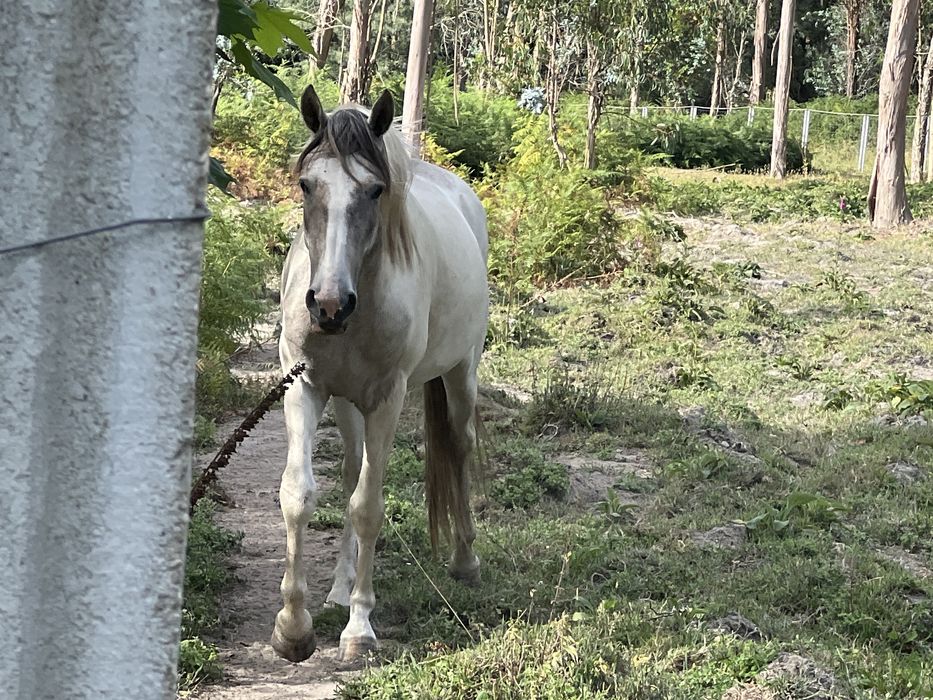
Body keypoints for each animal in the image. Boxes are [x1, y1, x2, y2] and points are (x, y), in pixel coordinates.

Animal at [271, 84, 489, 663]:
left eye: (373, 191)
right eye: (307, 184)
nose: (328, 305)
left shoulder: (389, 399)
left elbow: (368, 506)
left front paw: (359, 628)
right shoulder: (303, 387)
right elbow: (299, 494)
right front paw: (293, 627)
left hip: (461, 372)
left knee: (457, 447)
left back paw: (464, 560)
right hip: (348, 403)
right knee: (351, 468)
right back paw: (338, 588)